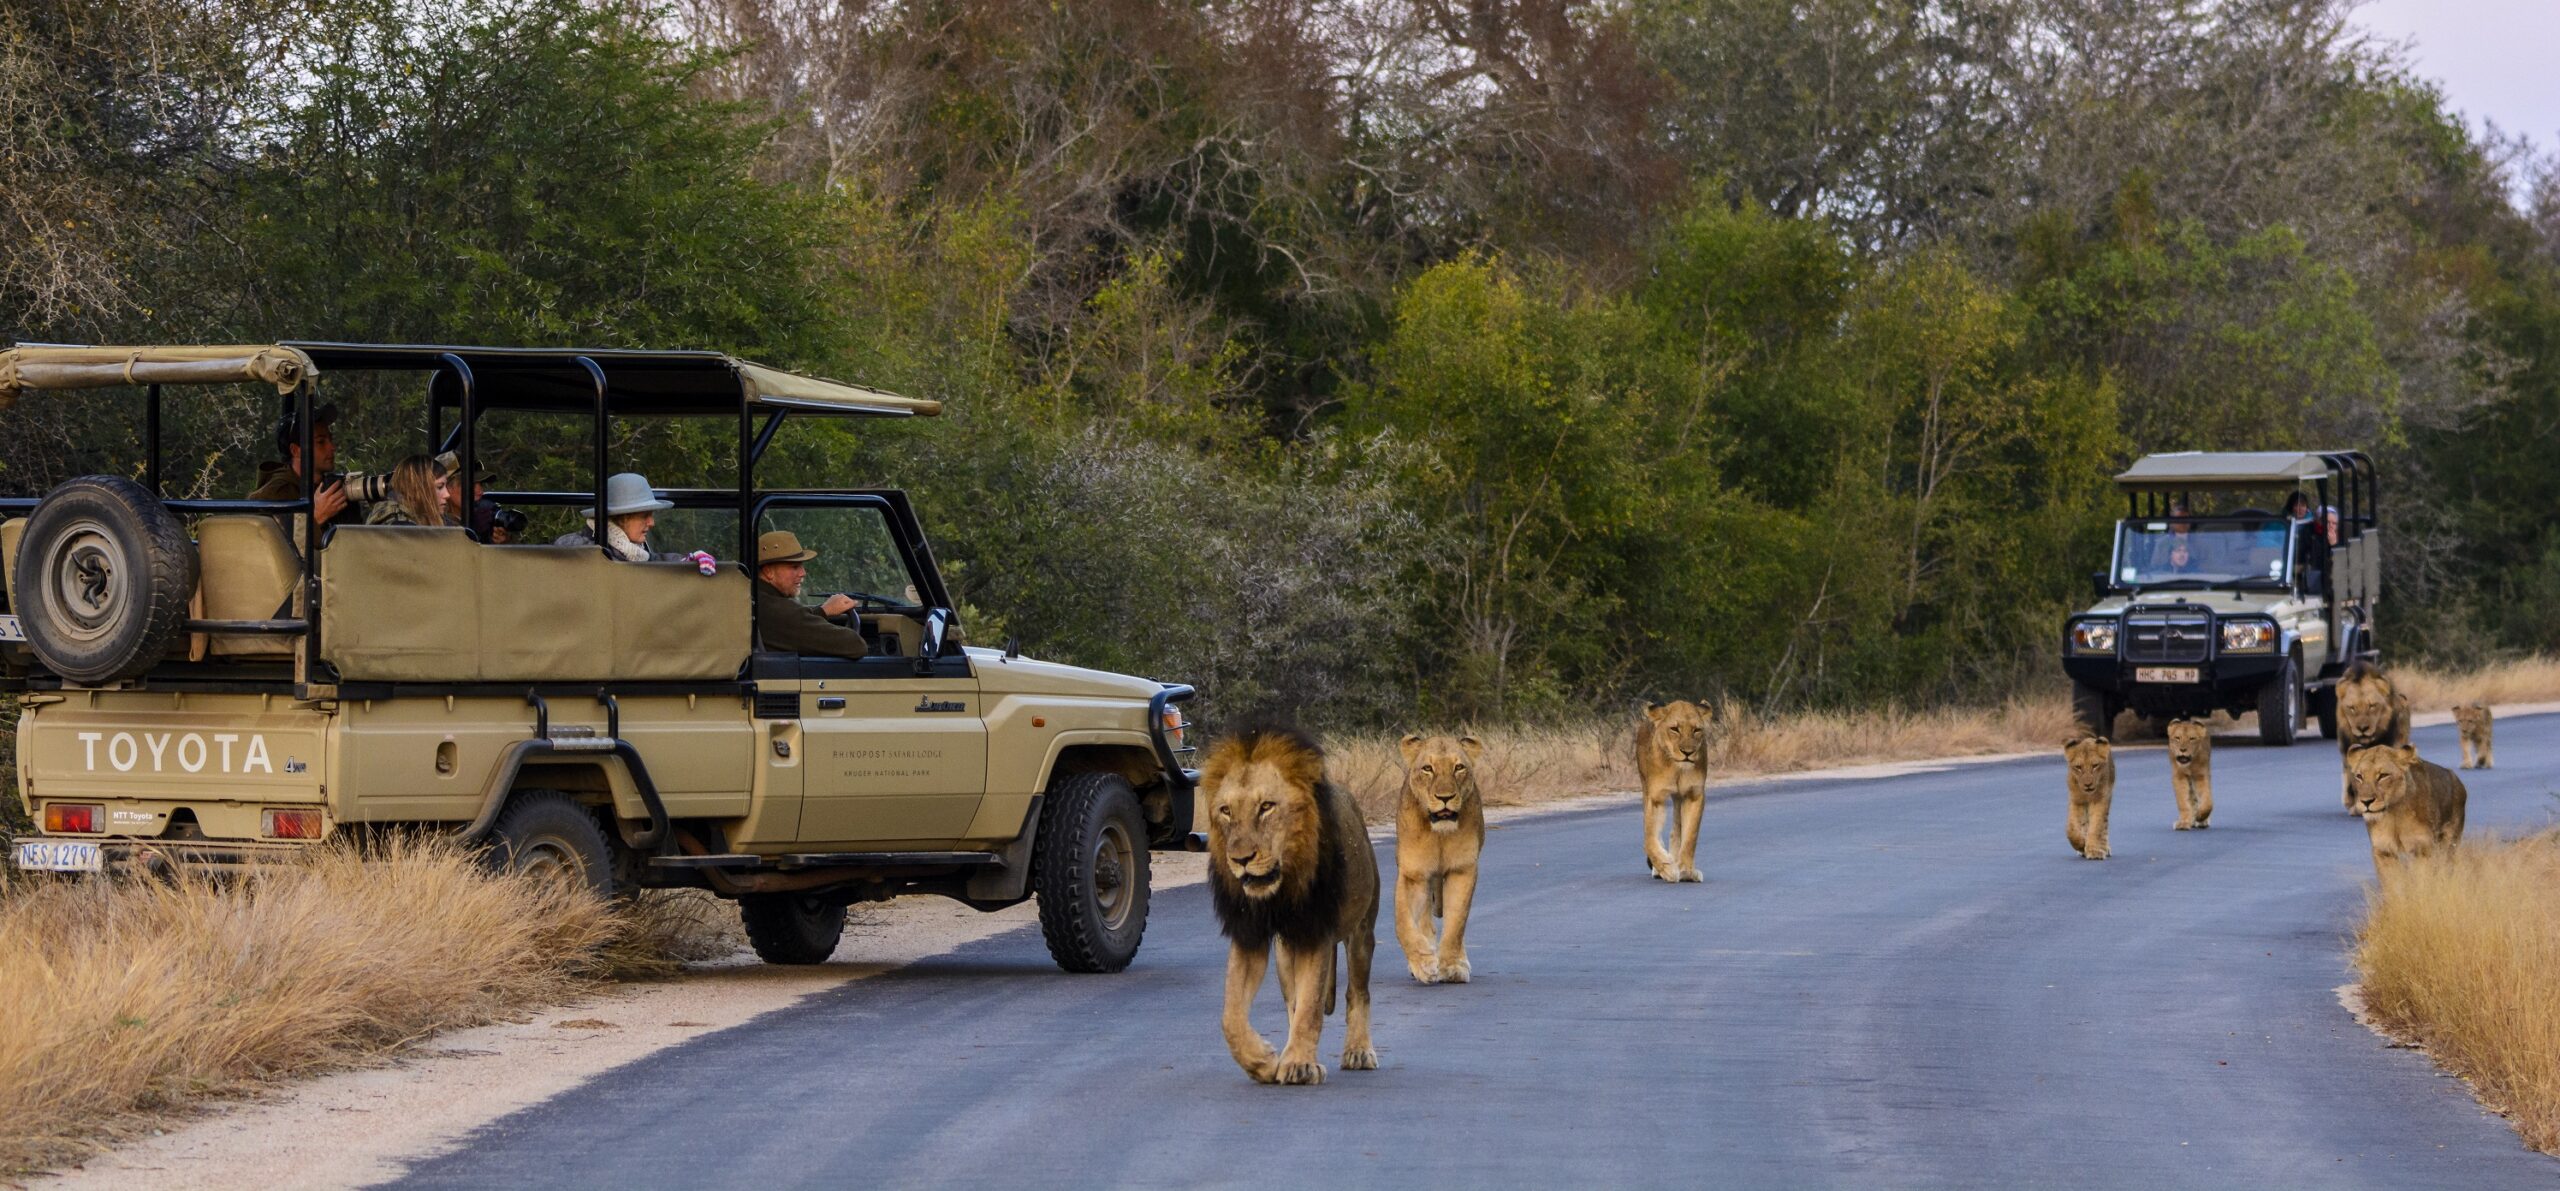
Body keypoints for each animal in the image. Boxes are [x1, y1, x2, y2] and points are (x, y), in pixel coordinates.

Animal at [1203, 724, 1380, 1085]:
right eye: (1226, 811)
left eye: (1267, 806)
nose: (1240, 859)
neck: (1279, 891)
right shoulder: (1250, 934)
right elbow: (1231, 1018)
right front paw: (1263, 1061)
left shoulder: (1316, 933)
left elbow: (1311, 1007)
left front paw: (1299, 1064)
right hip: (1286, 952)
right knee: (1292, 1001)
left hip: (1361, 932)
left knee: (1357, 993)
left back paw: (1357, 1051)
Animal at [1394, 733, 1485, 985]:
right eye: (1428, 768)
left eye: (1459, 767)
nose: (1445, 798)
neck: (1439, 834)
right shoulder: (1413, 873)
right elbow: (1403, 923)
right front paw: (1423, 963)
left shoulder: (1462, 869)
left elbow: (1457, 923)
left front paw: (1452, 966)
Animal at [1638, 700, 1715, 882]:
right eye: (1674, 729)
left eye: (1696, 730)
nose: (1687, 752)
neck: (1677, 769)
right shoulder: (1655, 797)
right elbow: (1649, 836)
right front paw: (1665, 868)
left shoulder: (1694, 795)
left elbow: (1690, 836)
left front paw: (1686, 870)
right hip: (1645, 785)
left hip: (1679, 797)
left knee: (1677, 829)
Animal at [2346, 744, 2467, 881]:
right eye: (2359, 776)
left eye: (2383, 775)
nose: (2366, 802)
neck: (2393, 814)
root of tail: (2456, 779)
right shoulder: (2383, 850)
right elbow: (2392, 882)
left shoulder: (2422, 849)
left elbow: (2423, 879)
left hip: (2449, 843)